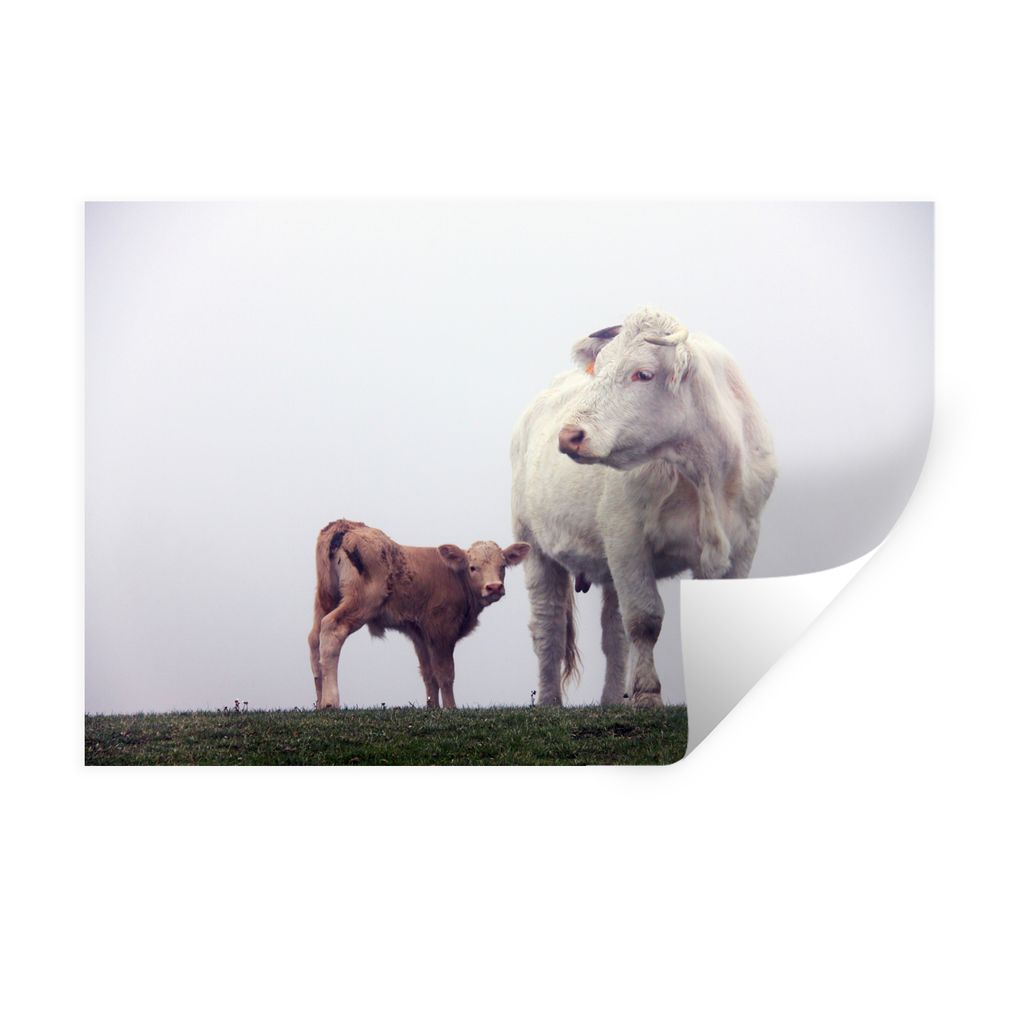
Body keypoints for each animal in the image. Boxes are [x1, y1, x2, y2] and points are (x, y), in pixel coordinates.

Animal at [308, 519, 530, 709]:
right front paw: (451, 708)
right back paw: (330, 701)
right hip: (362, 600)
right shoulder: (441, 628)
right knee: (332, 629)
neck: (456, 578)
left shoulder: (419, 632)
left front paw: (433, 708)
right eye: (472, 567)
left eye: (502, 566)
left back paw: (319, 701)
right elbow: (445, 672)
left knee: (314, 639)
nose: (494, 587)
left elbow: (428, 673)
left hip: (325, 599)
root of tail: (345, 525)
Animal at [510, 307, 777, 708]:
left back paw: (611, 702)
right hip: (534, 545)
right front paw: (648, 696)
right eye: (601, 368)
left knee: (612, 633)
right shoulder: (626, 537)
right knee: (549, 625)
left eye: (643, 374)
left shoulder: (745, 539)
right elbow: (644, 619)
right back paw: (549, 702)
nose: (569, 435)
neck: (706, 470)